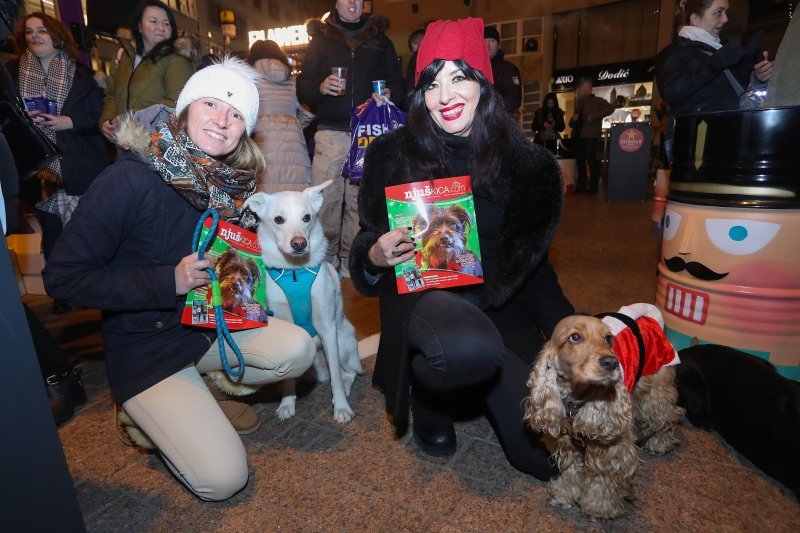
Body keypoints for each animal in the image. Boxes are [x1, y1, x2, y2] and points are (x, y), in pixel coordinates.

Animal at [242, 183, 364, 424]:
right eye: (279, 219)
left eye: (307, 217)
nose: (299, 243)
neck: (295, 272)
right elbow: (289, 379)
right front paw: (287, 402)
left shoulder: (327, 328)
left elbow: (336, 378)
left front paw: (341, 408)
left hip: (343, 343)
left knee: (348, 372)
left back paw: (344, 390)